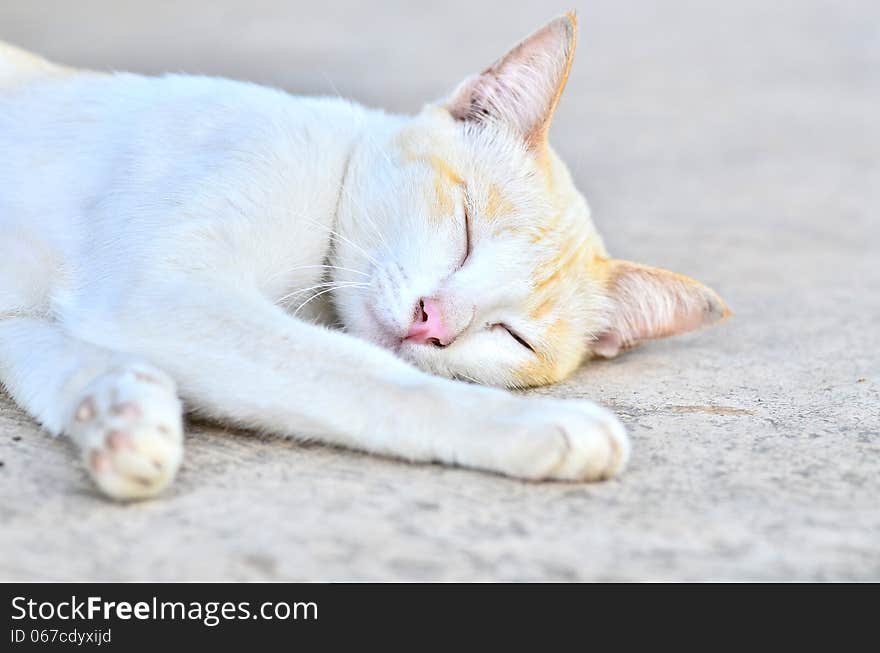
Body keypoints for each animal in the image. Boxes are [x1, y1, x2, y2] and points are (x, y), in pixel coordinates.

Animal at [0, 14, 728, 500]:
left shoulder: (55, 315)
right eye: (466, 227)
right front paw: (534, 424)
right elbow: (368, 378)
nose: (434, 322)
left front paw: (121, 418)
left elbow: (63, 361)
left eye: (512, 335)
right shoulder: (156, 291)